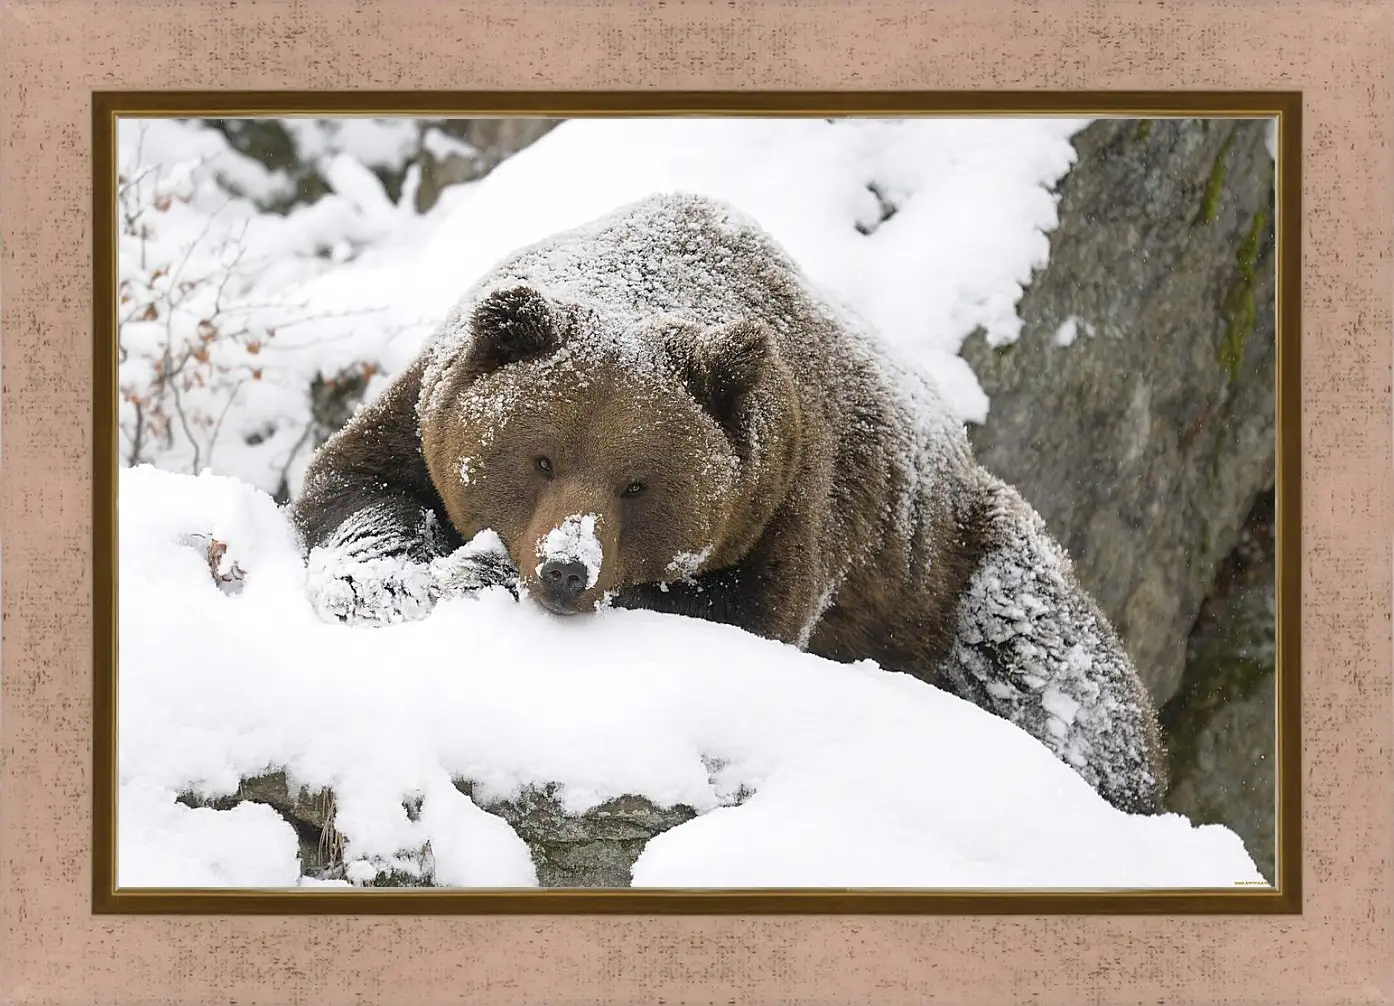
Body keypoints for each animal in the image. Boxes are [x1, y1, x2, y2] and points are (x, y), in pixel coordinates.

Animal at [291, 192, 1165, 813]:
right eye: (540, 458)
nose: (567, 569)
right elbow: (355, 493)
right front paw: (408, 575)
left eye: (637, 483)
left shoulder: (788, 504)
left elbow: (736, 614)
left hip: (956, 570)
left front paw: (482, 573)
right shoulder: (418, 413)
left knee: (1059, 676)